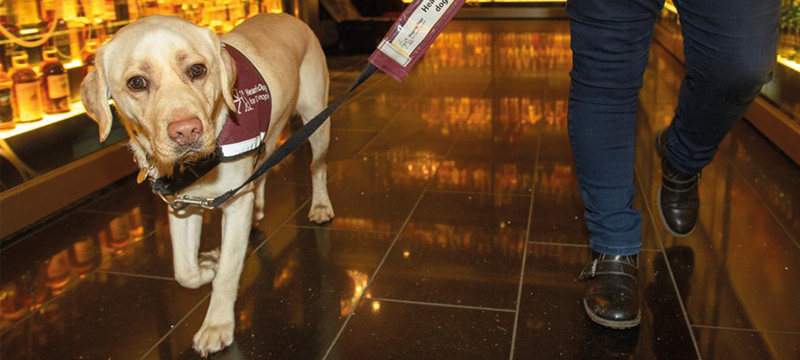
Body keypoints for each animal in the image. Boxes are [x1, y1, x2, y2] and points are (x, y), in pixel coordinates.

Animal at [79, 13, 332, 354]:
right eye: (137, 82)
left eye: (197, 70)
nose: (187, 131)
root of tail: (287, 15)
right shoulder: (183, 205)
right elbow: (184, 271)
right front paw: (207, 265)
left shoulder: (235, 204)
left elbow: (227, 272)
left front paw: (217, 325)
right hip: (268, 140)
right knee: (261, 175)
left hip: (316, 119)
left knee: (317, 167)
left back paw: (320, 206)